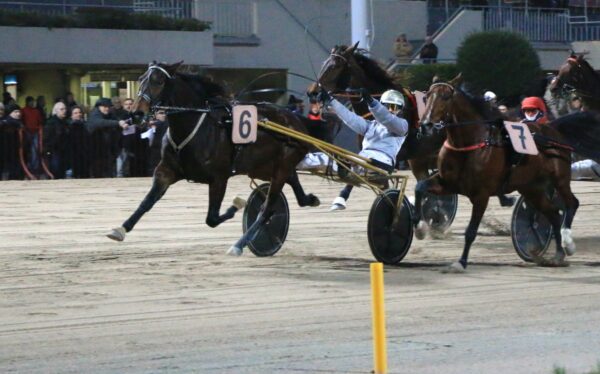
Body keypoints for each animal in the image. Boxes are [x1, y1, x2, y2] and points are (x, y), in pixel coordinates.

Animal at [414, 74, 600, 272]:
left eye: (445, 97)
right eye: (426, 97)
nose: (425, 125)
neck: (468, 144)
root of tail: (553, 129)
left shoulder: (481, 194)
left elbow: (471, 231)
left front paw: (461, 262)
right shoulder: (447, 183)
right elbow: (420, 187)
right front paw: (419, 228)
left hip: (560, 178)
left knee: (571, 203)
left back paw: (567, 243)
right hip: (531, 188)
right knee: (553, 214)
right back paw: (557, 255)